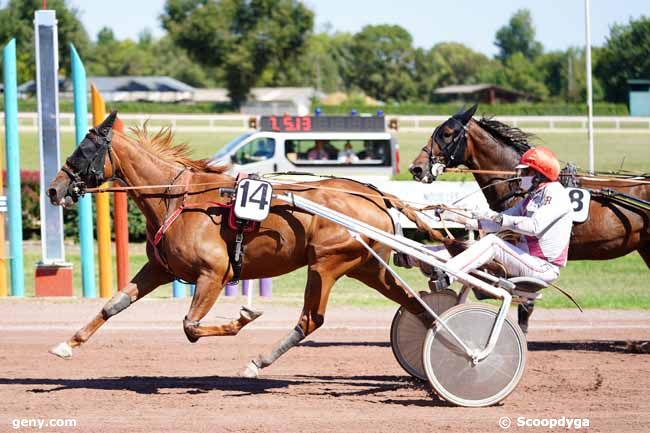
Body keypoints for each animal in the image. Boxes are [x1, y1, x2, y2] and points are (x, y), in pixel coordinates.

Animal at [48, 112, 438, 378]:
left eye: (84, 150)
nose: (53, 189)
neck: (177, 198)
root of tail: (374, 193)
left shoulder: (214, 273)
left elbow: (190, 326)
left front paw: (244, 316)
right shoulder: (160, 269)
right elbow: (113, 305)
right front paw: (68, 344)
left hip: (327, 264)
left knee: (310, 320)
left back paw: (257, 362)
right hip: (368, 267)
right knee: (415, 304)